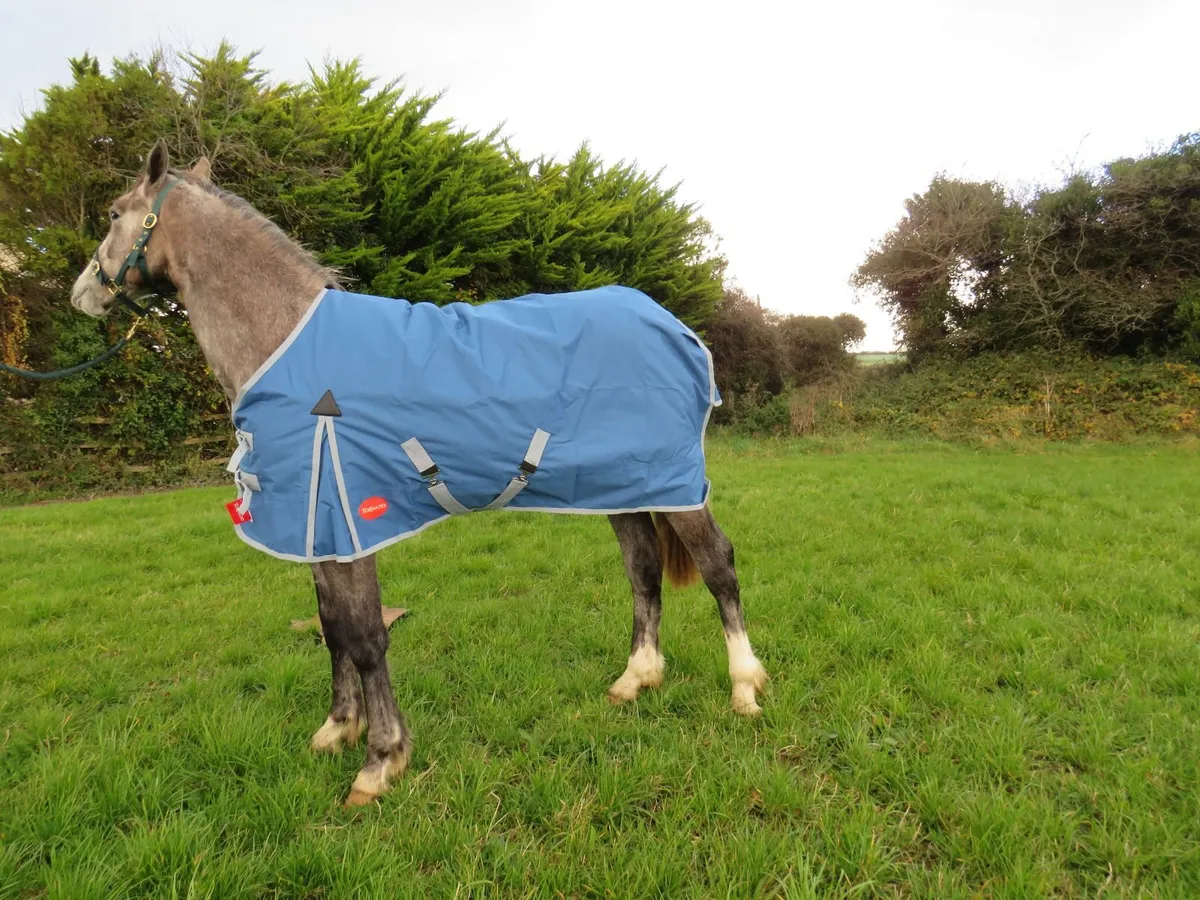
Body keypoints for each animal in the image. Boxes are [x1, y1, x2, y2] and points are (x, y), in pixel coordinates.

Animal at [69, 140, 767, 807]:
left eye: (113, 213)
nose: (82, 292)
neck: (288, 345)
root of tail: (674, 326)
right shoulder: (316, 526)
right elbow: (331, 628)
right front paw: (336, 730)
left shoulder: (349, 520)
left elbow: (365, 635)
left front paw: (380, 761)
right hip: (619, 488)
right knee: (643, 570)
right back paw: (636, 679)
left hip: (676, 488)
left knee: (718, 565)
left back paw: (745, 687)